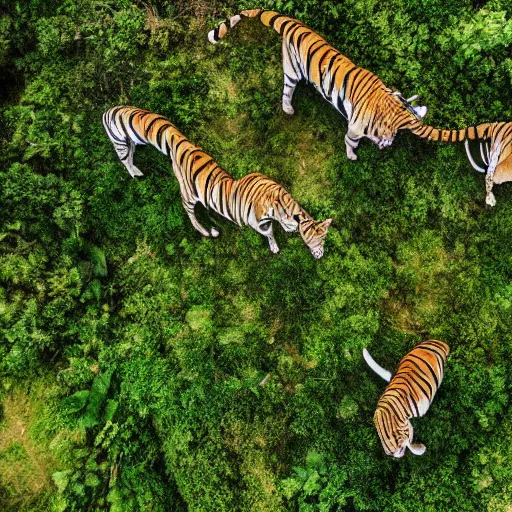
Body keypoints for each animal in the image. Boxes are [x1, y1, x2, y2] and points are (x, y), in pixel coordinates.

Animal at [102, 106, 332, 258]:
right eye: (320, 239)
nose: (321, 254)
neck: (286, 208)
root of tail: (181, 141)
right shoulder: (256, 221)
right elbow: (269, 233)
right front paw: (274, 246)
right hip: (188, 193)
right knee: (189, 213)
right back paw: (207, 231)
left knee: (131, 152)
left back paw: (136, 171)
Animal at [208, 10, 428, 162]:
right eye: (392, 136)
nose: (387, 146)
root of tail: (292, 24)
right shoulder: (354, 128)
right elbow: (350, 142)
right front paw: (352, 156)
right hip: (292, 70)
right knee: (286, 92)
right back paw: (288, 109)